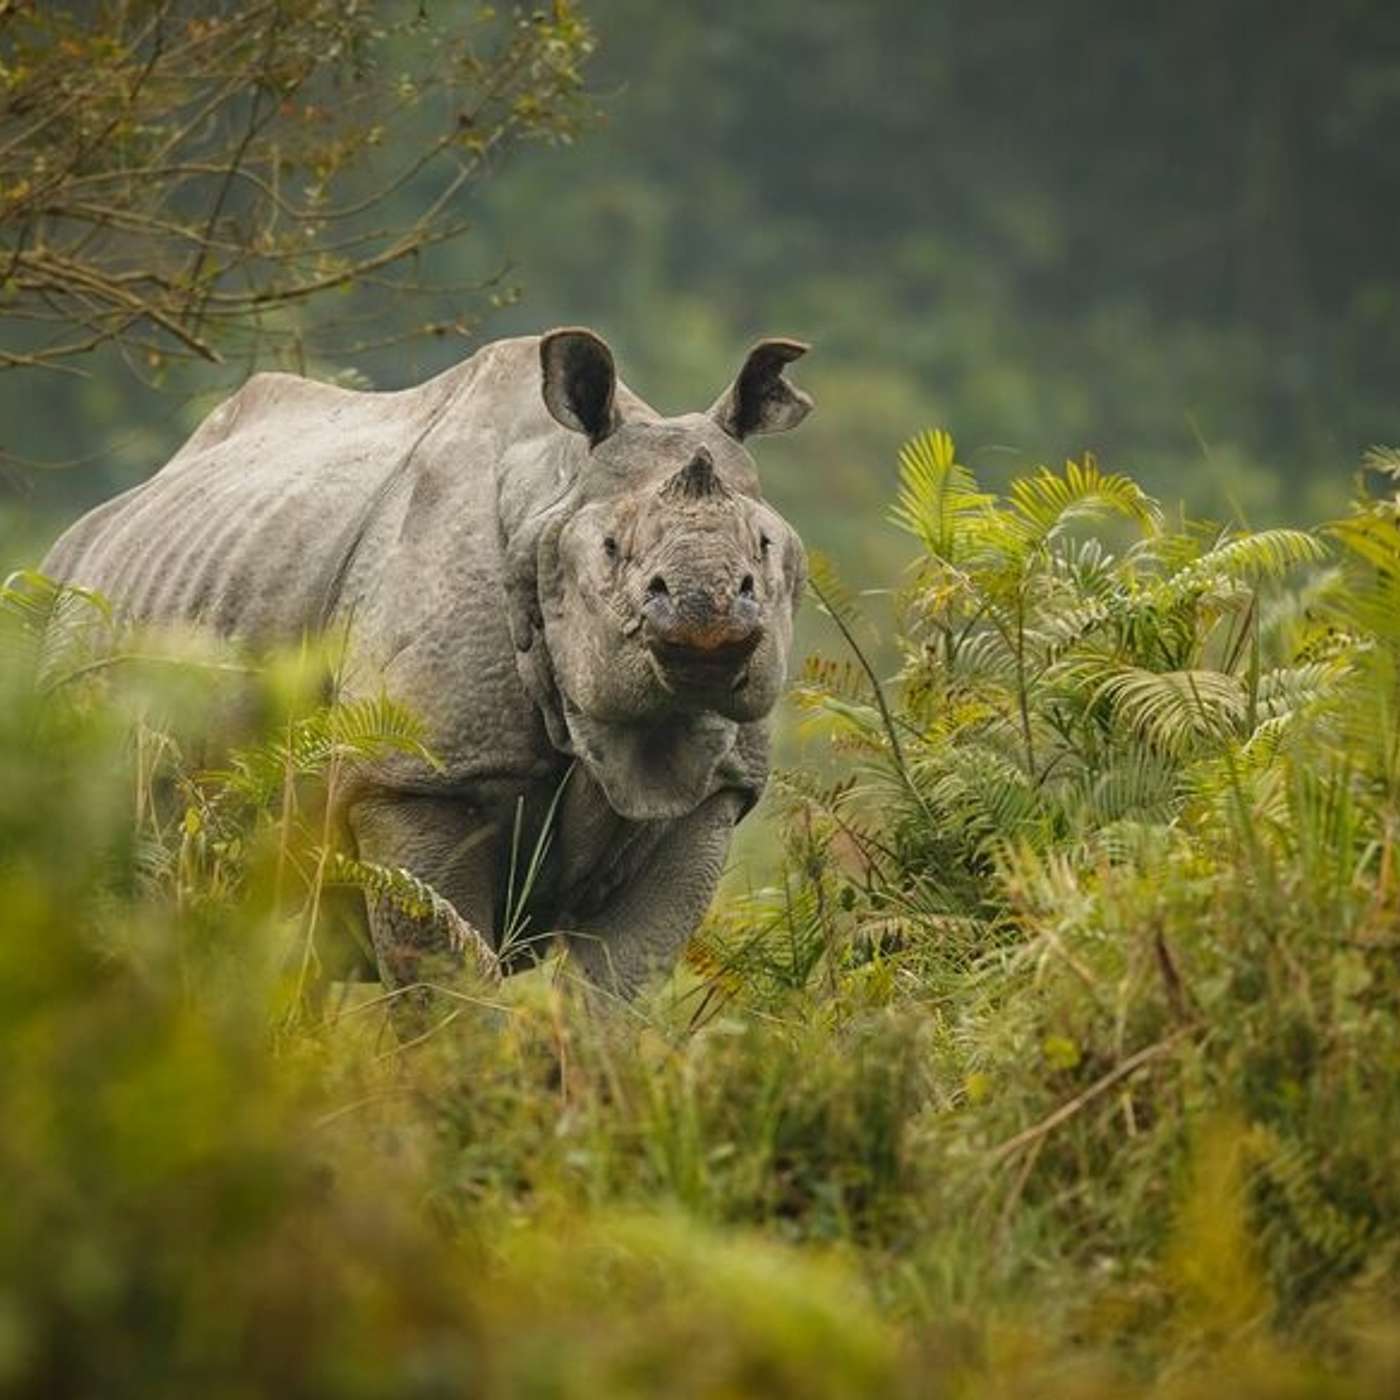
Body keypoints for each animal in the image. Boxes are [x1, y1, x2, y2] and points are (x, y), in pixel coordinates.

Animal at [41, 330, 812, 1008]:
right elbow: (449, 988)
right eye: (612, 549)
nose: (706, 613)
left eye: (765, 546)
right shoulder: (416, 780)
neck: (553, 495)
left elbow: (614, 992)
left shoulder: (712, 795)